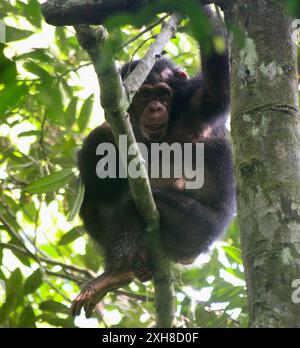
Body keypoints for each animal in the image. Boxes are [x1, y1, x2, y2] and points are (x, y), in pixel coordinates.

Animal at [71, 8, 236, 318]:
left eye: (162, 93)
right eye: (144, 94)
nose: (156, 107)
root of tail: (190, 257)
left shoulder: (198, 102)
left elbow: (219, 85)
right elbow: (98, 152)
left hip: (198, 229)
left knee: (137, 203)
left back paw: (117, 273)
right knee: (94, 200)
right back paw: (135, 264)